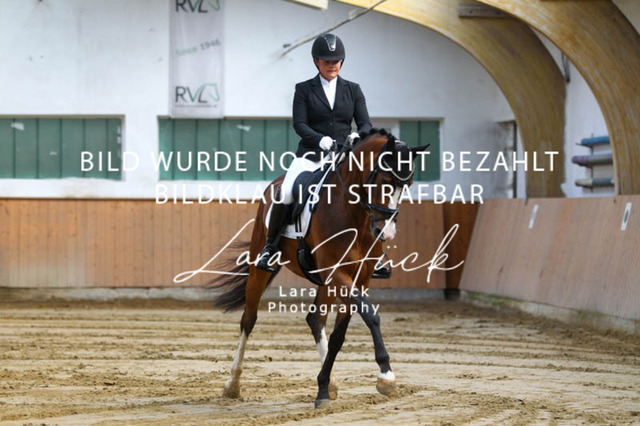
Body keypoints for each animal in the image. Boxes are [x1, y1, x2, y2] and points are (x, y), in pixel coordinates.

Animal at [210, 129, 428, 408]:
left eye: (407, 185)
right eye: (385, 181)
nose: (386, 233)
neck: (354, 213)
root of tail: (274, 184)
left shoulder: (359, 277)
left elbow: (339, 334)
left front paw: (323, 386)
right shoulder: (337, 272)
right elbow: (371, 315)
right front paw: (386, 376)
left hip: (327, 282)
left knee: (315, 319)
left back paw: (330, 384)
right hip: (262, 266)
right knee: (248, 320)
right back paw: (232, 384)